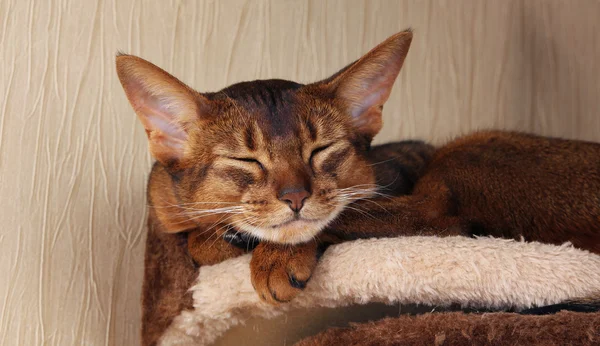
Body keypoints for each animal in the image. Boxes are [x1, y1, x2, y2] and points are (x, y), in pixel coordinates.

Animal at [117, 29, 600, 308]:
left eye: (321, 150)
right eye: (245, 160)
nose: (296, 197)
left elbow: (341, 213)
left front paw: (271, 255)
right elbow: (199, 240)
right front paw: (224, 238)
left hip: (467, 151)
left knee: (435, 218)